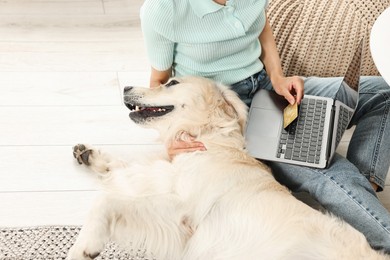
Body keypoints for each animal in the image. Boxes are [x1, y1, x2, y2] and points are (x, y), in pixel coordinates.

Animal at [66, 76, 386, 258]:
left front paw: (83, 247)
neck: (208, 138)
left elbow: (105, 201)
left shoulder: (185, 213)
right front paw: (91, 155)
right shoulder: (164, 177)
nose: (126, 87)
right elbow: (124, 170)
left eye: (172, 83)